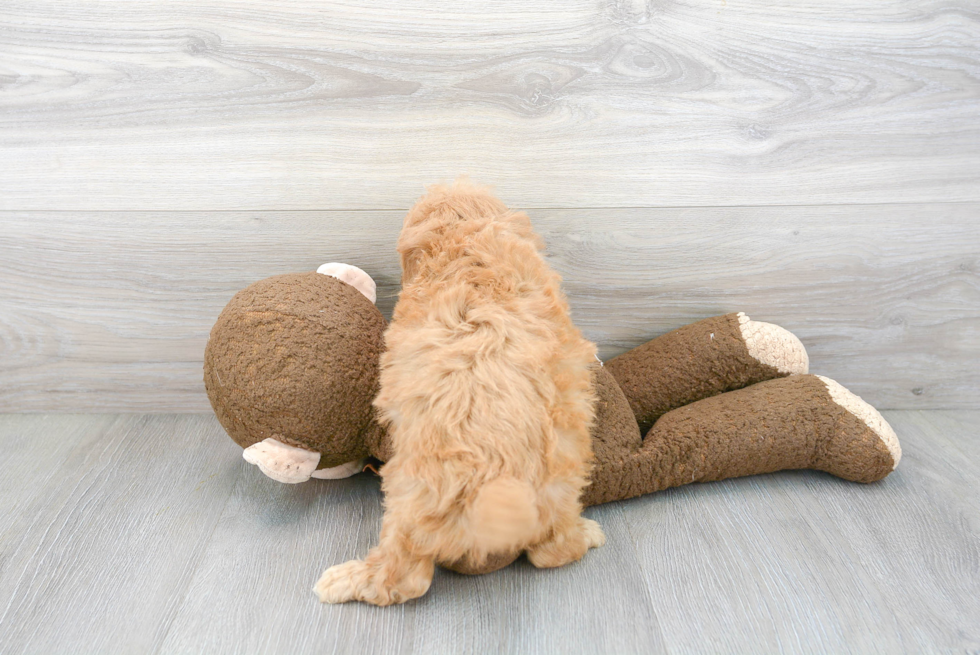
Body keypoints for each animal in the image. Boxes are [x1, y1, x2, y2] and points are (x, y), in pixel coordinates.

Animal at [316, 182, 604, 608]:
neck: (470, 245)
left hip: (408, 501)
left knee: (404, 579)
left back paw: (342, 581)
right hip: (562, 482)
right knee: (552, 552)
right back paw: (586, 534)